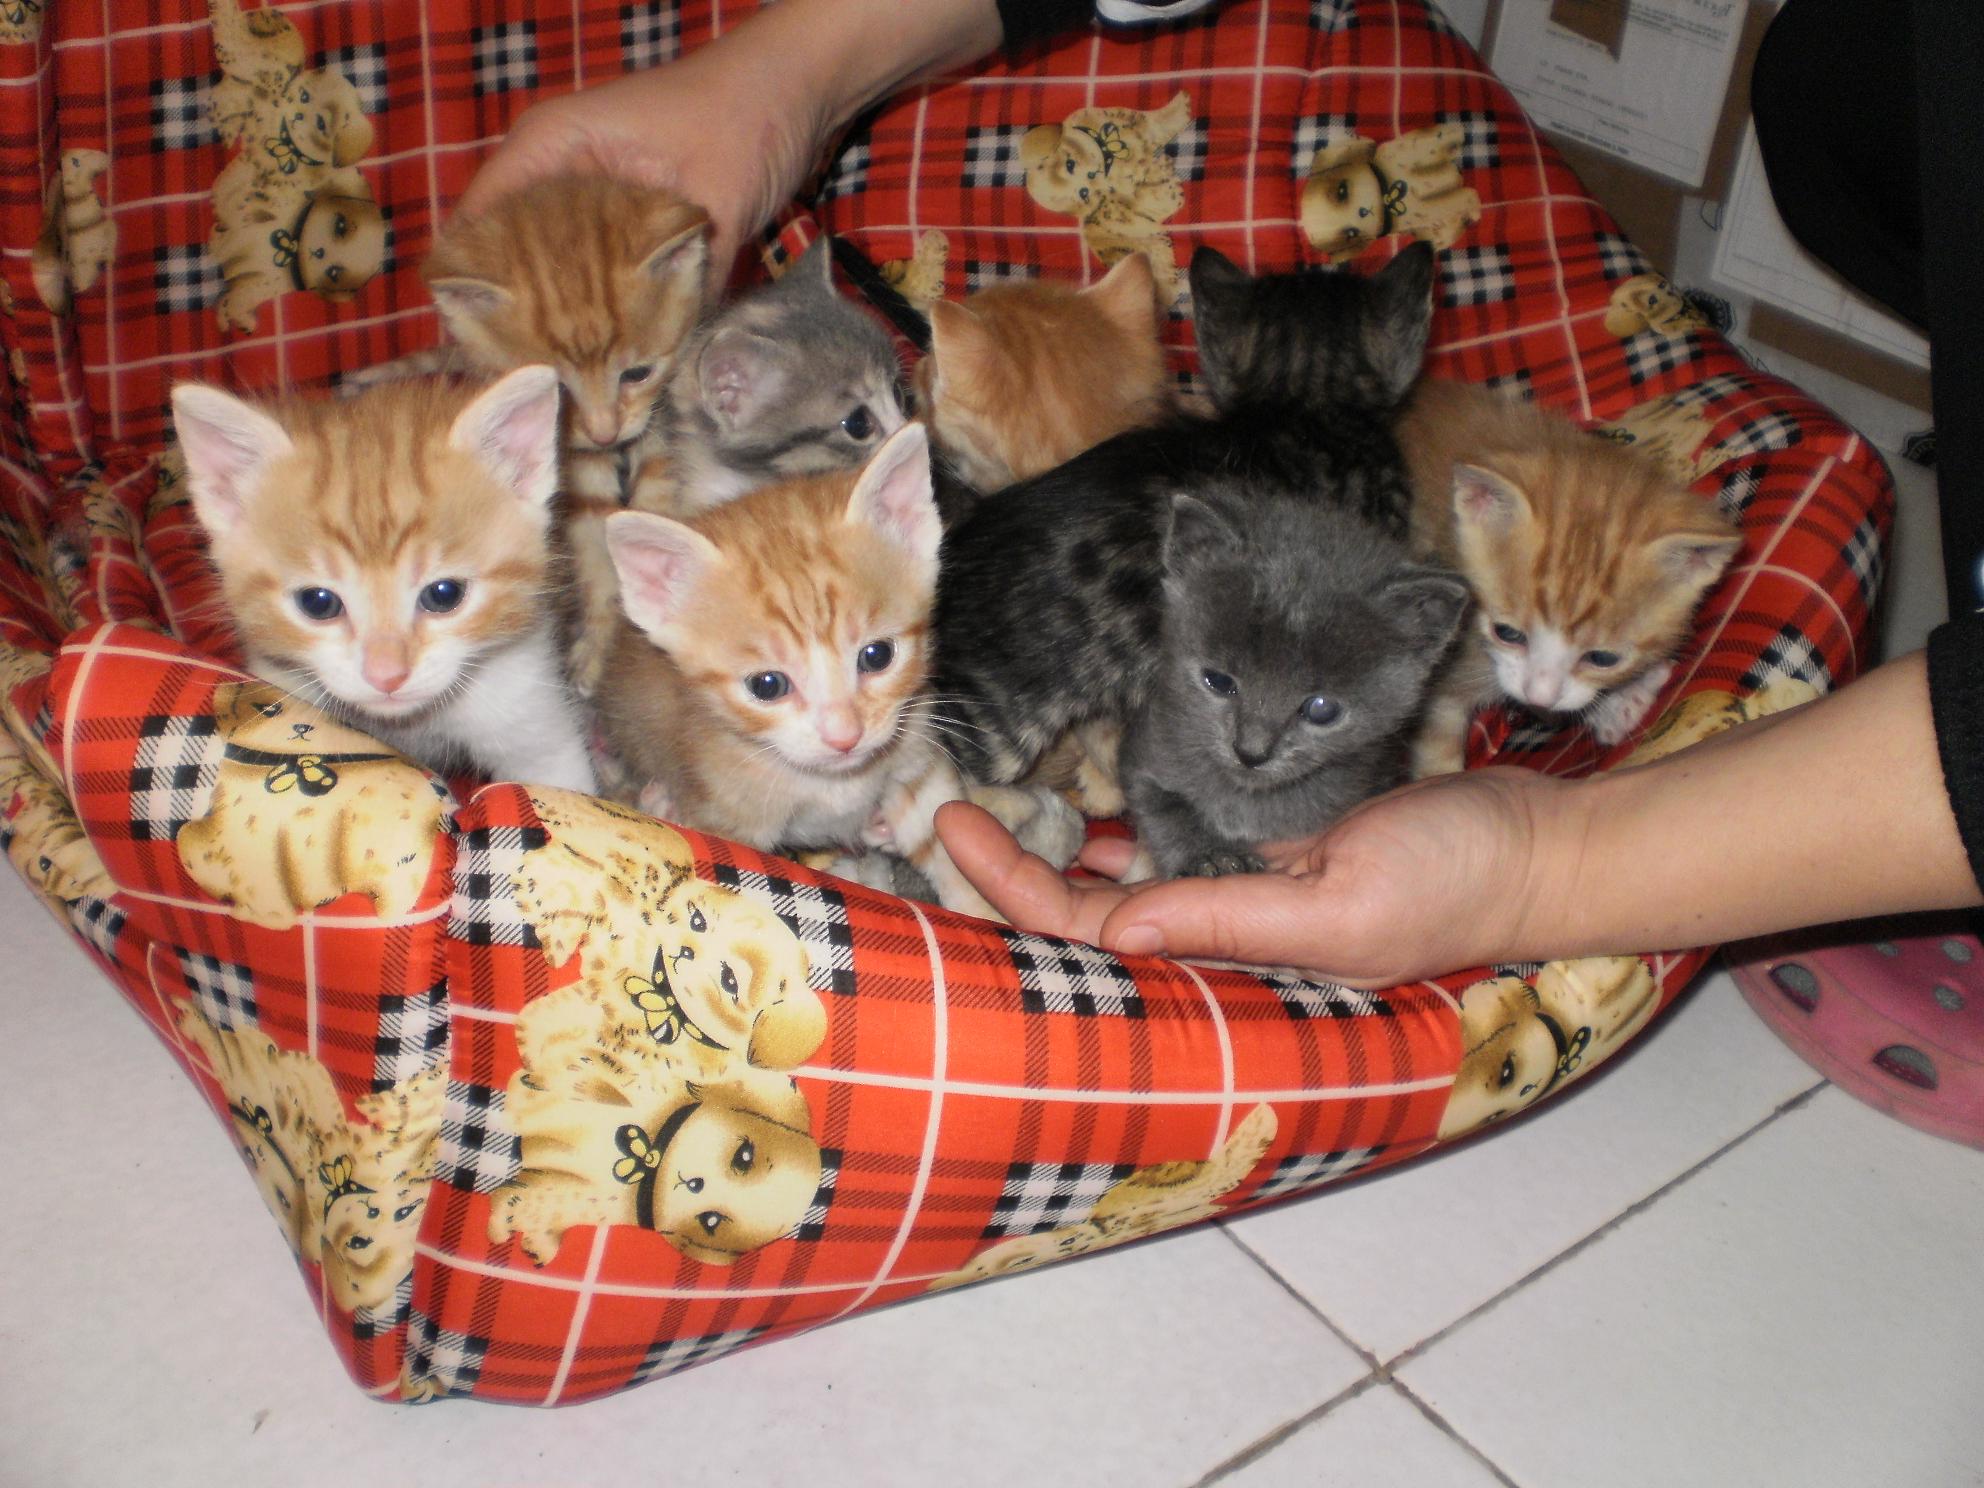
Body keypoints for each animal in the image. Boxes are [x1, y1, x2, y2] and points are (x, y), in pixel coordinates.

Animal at [598, 422, 1079, 919]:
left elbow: (943, 840)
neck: (836, 784)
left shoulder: (917, 760)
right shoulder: (729, 818)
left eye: (877, 656)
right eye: (767, 685)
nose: (845, 737)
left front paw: (980, 913)